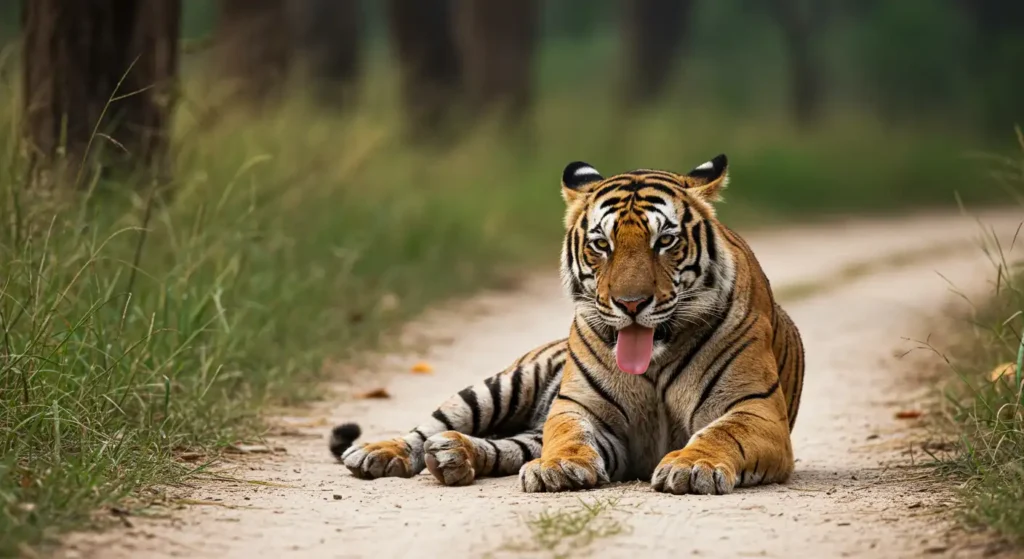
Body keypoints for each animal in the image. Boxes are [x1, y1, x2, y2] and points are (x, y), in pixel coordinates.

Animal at [330, 154, 805, 494]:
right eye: (602, 244)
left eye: (665, 241)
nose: (631, 303)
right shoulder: (578, 408)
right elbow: (568, 435)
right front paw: (559, 466)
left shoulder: (755, 409)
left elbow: (722, 434)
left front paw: (691, 466)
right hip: (502, 385)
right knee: (428, 427)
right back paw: (380, 452)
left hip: (520, 425)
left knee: (503, 446)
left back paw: (452, 456)